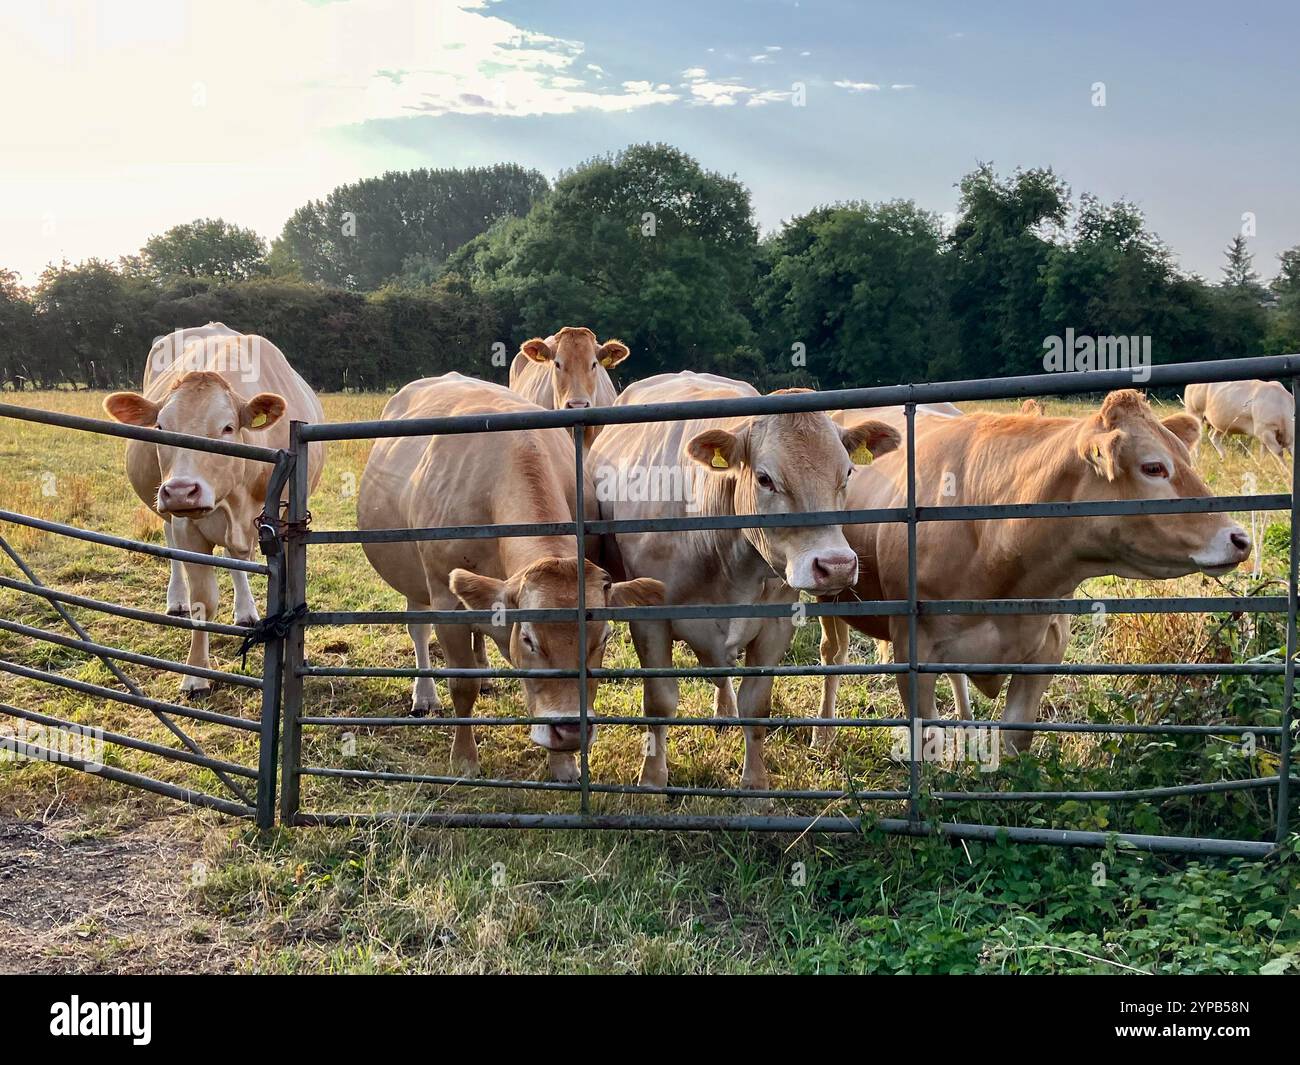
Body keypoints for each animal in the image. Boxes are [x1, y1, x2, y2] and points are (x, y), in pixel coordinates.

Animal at [103, 326, 326, 694]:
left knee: (236, 560)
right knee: (172, 546)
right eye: (161, 428)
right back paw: (176, 599)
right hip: (169, 515)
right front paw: (196, 673)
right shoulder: (188, 529)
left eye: (227, 428)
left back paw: (246, 610)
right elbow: (203, 601)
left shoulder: (282, 524)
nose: (181, 491)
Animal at [357, 373, 663, 782]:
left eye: (604, 638)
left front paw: (564, 765)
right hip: (414, 579)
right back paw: (425, 695)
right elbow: (462, 683)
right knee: (418, 629)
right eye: (530, 638)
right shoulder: (445, 598)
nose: (570, 730)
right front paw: (465, 758)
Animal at [589, 371, 900, 789]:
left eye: (848, 472)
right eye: (765, 478)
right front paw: (652, 780)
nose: (835, 565)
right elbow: (659, 701)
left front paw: (755, 784)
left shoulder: (776, 624)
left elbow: (757, 705)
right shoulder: (649, 619)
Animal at [819, 390, 1251, 755]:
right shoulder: (913, 648)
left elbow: (1016, 736)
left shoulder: (1047, 647)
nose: (1240, 538)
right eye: (1154, 467)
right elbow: (926, 735)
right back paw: (823, 732)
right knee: (833, 654)